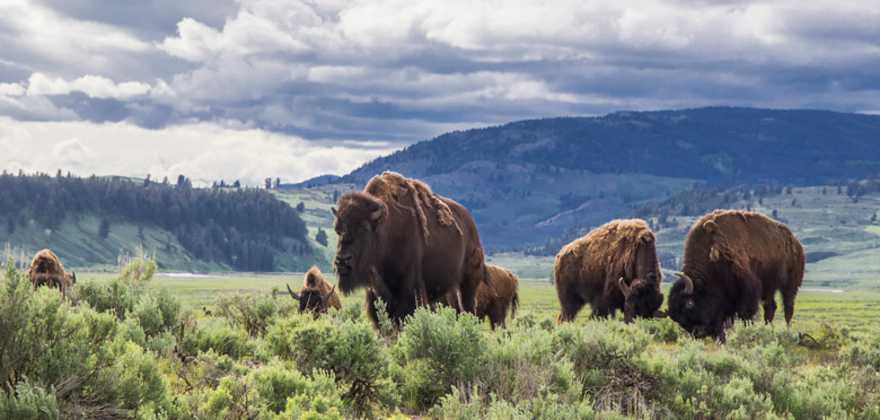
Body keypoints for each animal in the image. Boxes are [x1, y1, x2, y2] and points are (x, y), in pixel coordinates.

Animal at [333, 171, 487, 327]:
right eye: (337, 229)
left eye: (364, 228)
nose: (342, 261)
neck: (385, 229)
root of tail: (470, 223)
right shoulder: (376, 292)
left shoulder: (409, 287)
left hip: (469, 281)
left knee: (468, 306)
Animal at [668, 210, 805, 341]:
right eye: (676, 317)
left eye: (689, 304)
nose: (698, 333)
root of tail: (796, 243)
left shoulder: (748, 290)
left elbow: (746, 314)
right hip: (769, 288)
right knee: (771, 307)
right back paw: (768, 329)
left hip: (790, 285)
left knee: (788, 307)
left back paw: (787, 331)